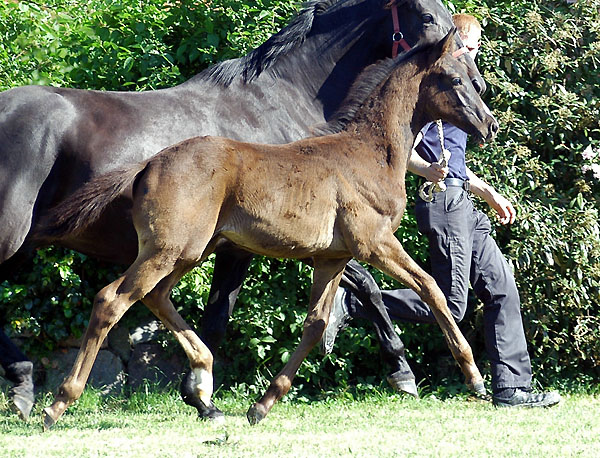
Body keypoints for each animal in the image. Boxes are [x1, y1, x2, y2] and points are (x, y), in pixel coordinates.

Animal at [0, 0, 482, 416]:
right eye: (428, 17)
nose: (488, 120)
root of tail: (149, 163)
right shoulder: (368, 242)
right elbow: (424, 288)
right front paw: (451, 375)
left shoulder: (324, 253)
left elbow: (313, 319)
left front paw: (228, 400)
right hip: (121, 246)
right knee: (111, 300)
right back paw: (48, 399)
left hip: (182, 250)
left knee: (152, 296)